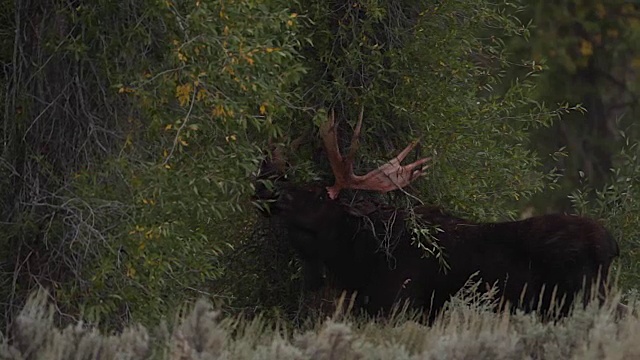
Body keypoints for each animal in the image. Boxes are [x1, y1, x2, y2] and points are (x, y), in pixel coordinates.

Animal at [255, 107, 620, 320]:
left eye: (318, 195)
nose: (273, 195)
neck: (356, 260)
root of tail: (610, 244)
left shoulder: (397, 303)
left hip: (576, 298)